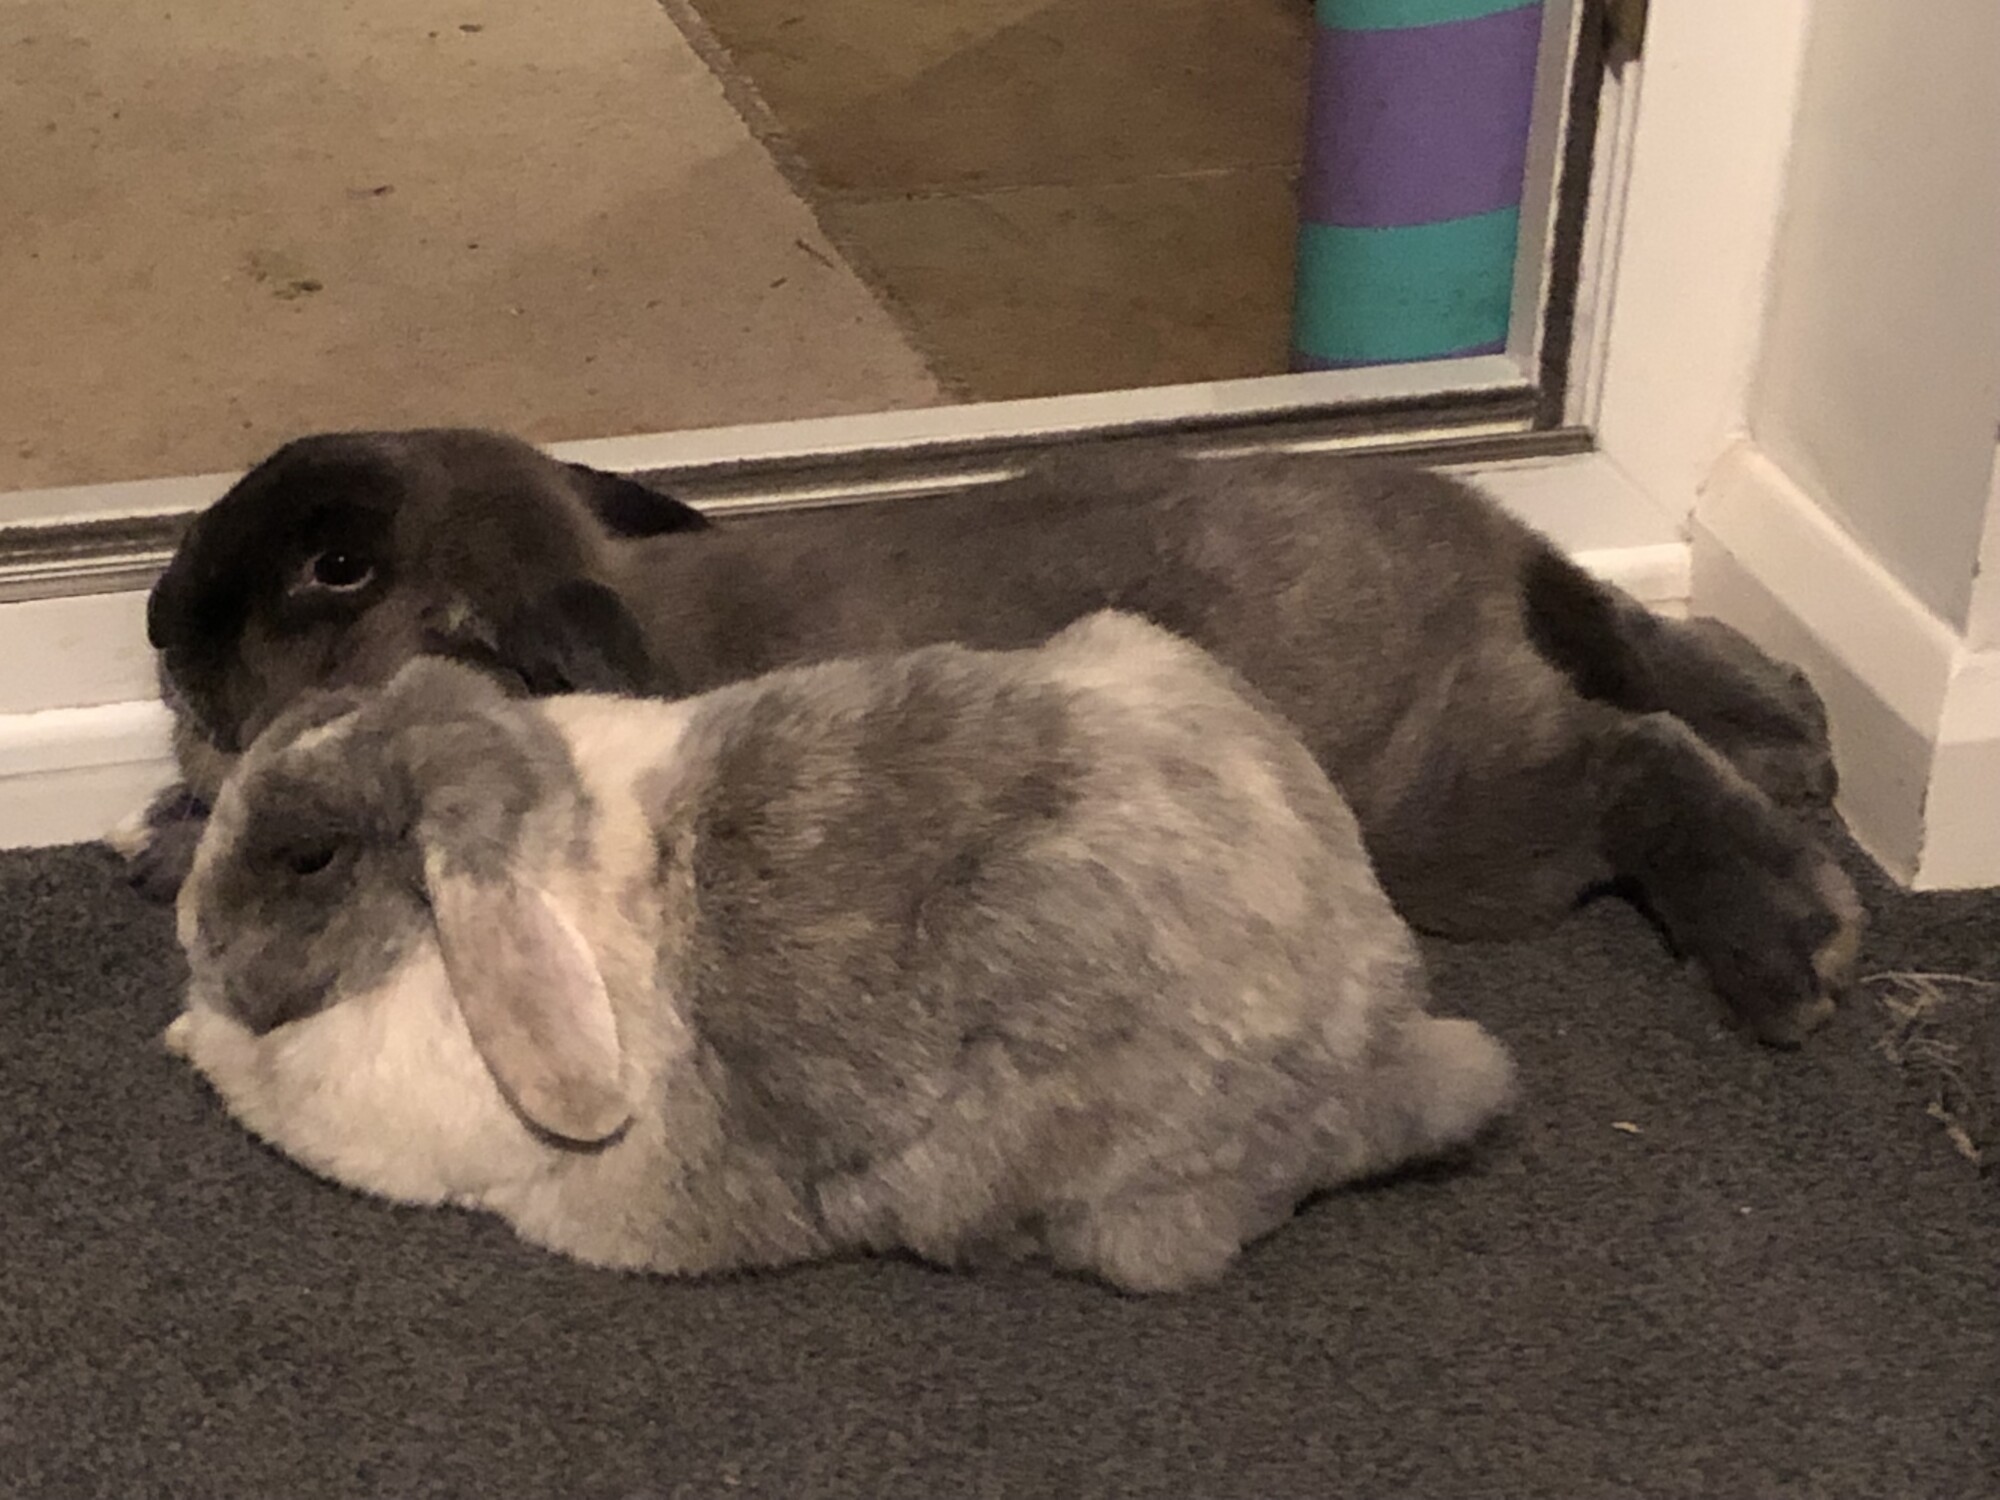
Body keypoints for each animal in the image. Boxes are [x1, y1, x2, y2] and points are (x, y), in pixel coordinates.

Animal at [133, 427, 1862, 1046]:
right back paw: (1796, 736)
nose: (155, 618)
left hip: (1449, 818)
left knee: (1631, 763)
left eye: (334, 567)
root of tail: (1474, 552)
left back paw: (1790, 946)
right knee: (1637, 650)